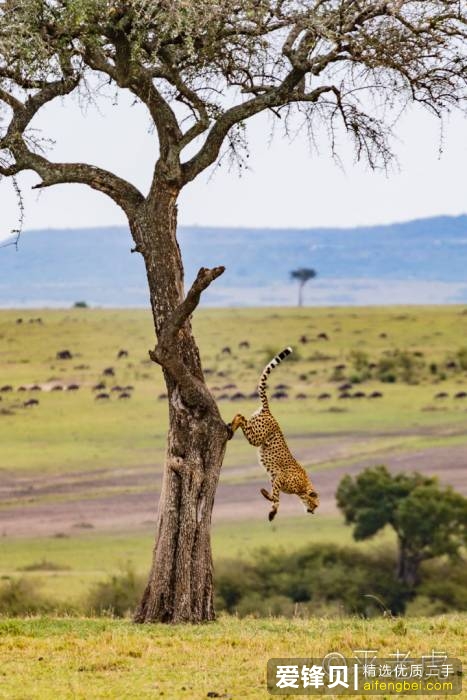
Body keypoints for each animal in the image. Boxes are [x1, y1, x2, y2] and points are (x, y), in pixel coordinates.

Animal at [229, 348, 320, 520]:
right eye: (316, 504)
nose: (313, 511)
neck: (302, 487)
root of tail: (269, 412)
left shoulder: (274, 478)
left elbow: (275, 496)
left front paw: (270, 504)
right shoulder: (279, 478)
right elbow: (276, 496)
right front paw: (271, 507)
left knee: (240, 415)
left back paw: (230, 425)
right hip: (256, 437)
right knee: (240, 416)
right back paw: (232, 427)